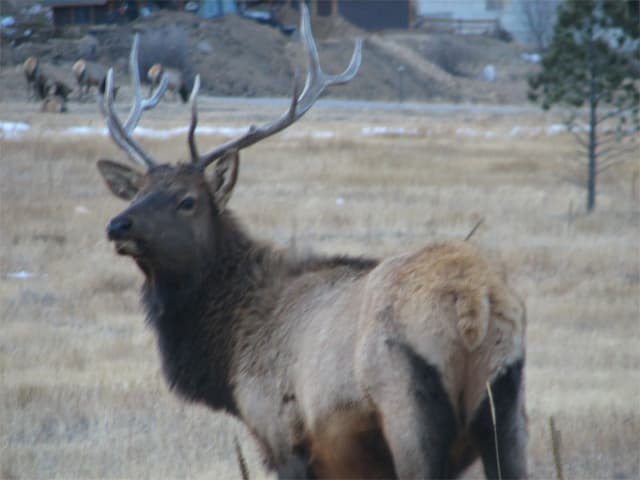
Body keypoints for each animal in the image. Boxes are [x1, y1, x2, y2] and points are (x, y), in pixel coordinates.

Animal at [95, 7, 527, 479]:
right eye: (138, 192)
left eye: (187, 200)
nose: (118, 225)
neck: (229, 356)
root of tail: (475, 303)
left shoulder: (283, 435)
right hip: (509, 407)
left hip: (407, 407)